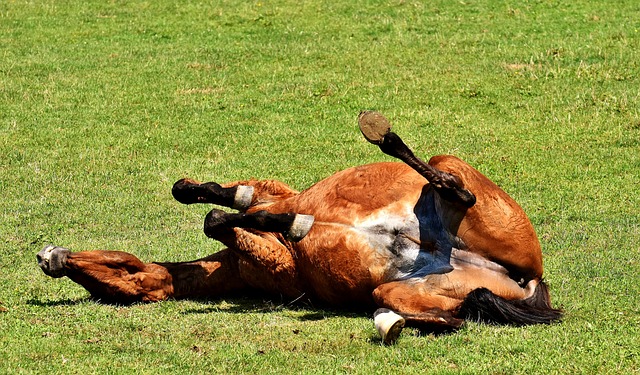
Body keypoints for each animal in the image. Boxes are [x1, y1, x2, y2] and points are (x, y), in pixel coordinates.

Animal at [37, 111, 564, 344]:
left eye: (113, 273)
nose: (50, 258)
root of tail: (532, 278)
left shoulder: (277, 210)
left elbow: (224, 211)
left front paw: (271, 218)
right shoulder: (273, 217)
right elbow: (222, 203)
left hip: (450, 165)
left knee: (456, 188)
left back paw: (383, 138)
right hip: (405, 289)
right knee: (448, 319)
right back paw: (389, 323)